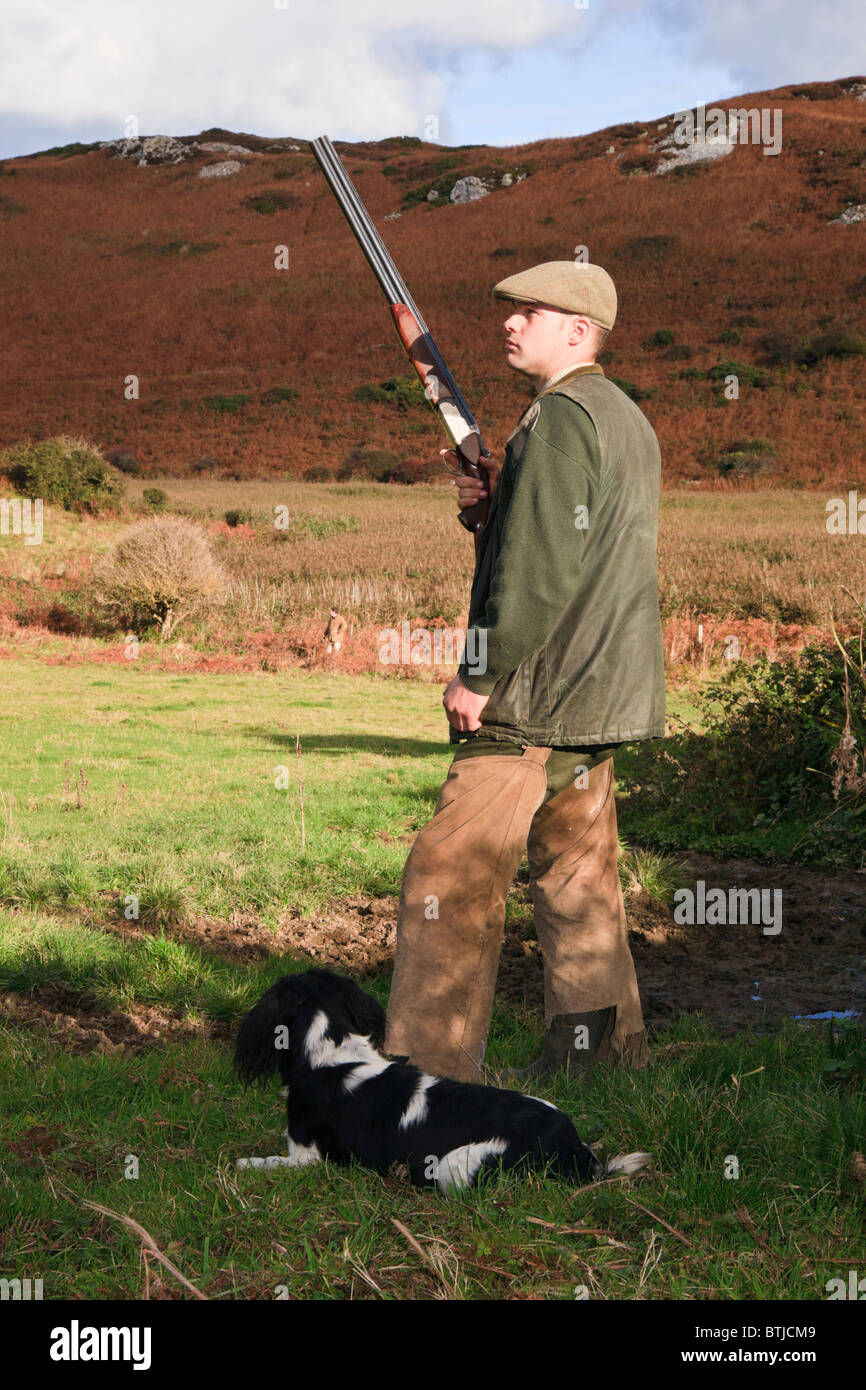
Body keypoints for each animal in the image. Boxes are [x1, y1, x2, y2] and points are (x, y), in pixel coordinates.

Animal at [233, 967, 647, 1195]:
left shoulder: (306, 1157)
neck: (333, 1054)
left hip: (453, 1163)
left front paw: (243, 1163)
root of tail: (574, 1147)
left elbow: (261, 1162)